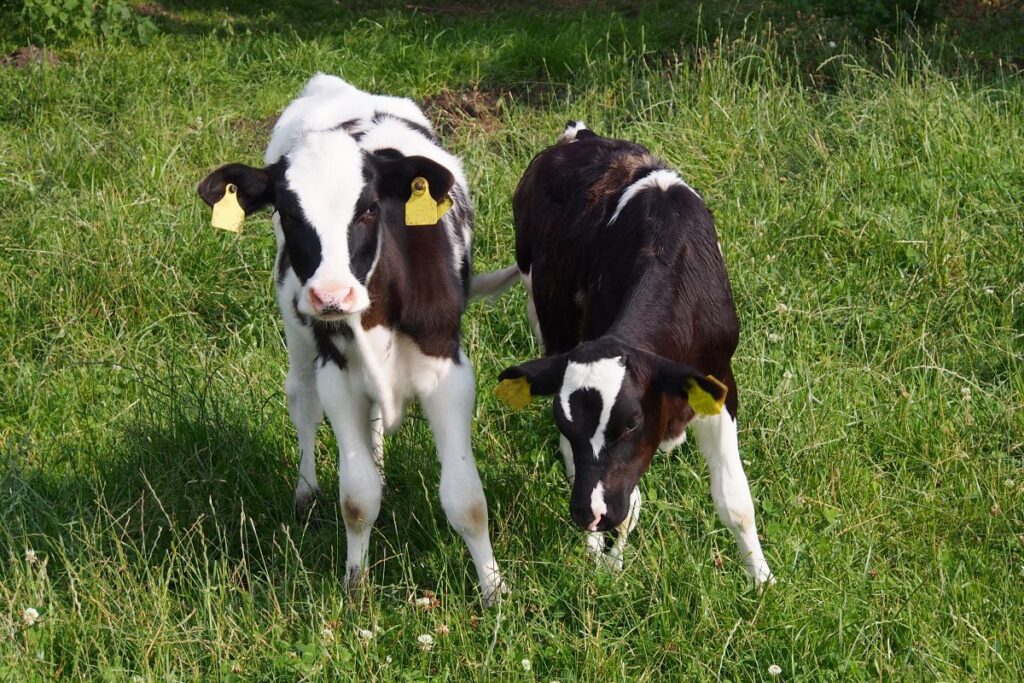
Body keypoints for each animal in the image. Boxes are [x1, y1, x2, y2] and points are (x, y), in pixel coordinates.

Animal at [197, 74, 506, 605]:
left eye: (368, 209)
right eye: (288, 214)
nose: (331, 295)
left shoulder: (448, 373)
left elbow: (466, 499)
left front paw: (493, 591)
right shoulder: (336, 375)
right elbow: (358, 497)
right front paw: (355, 584)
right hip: (296, 328)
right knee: (300, 399)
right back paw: (305, 492)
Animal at [494, 122, 774, 585]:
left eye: (631, 423)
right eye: (563, 420)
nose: (586, 515)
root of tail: (580, 136)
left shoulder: (721, 382)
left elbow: (735, 501)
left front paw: (761, 579)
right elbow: (626, 501)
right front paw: (608, 562)